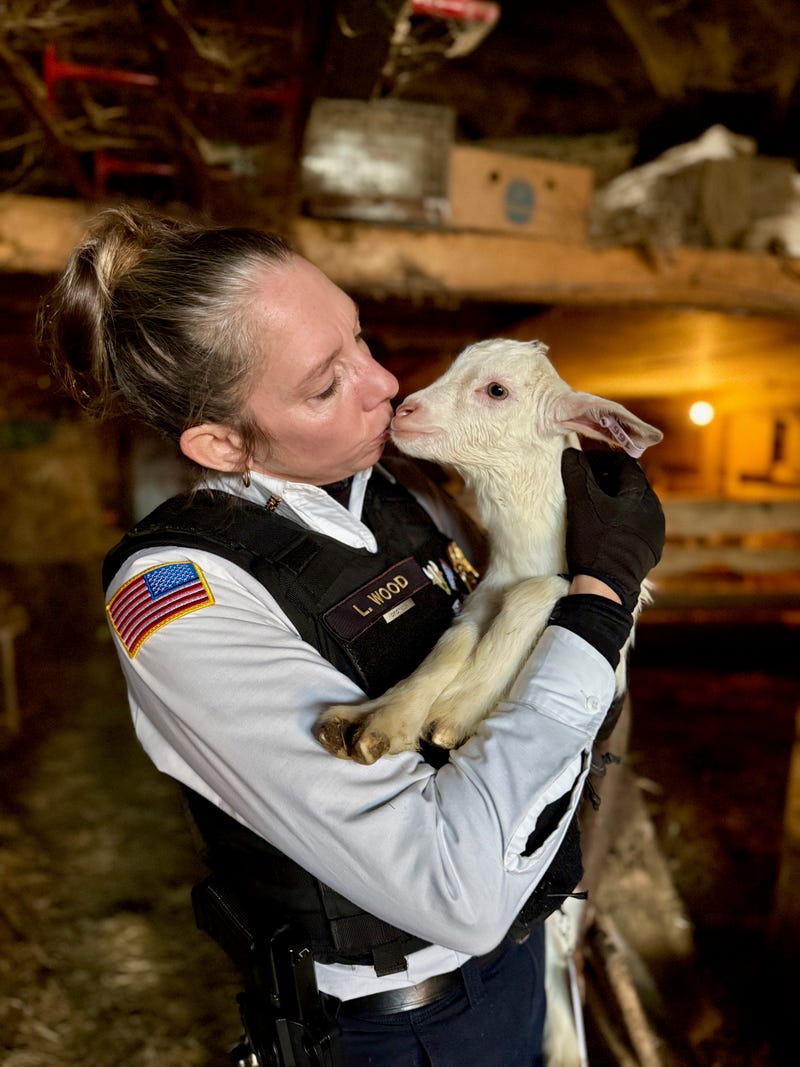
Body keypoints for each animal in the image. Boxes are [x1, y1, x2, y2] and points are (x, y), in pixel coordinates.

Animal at [317, 338, 663, 766]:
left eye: (497, 390)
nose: (405, 410)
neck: (522, 561)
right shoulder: (482, 593)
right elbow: (458, 636)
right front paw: (382, 718)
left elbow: (541, 590)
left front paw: (456, 710)